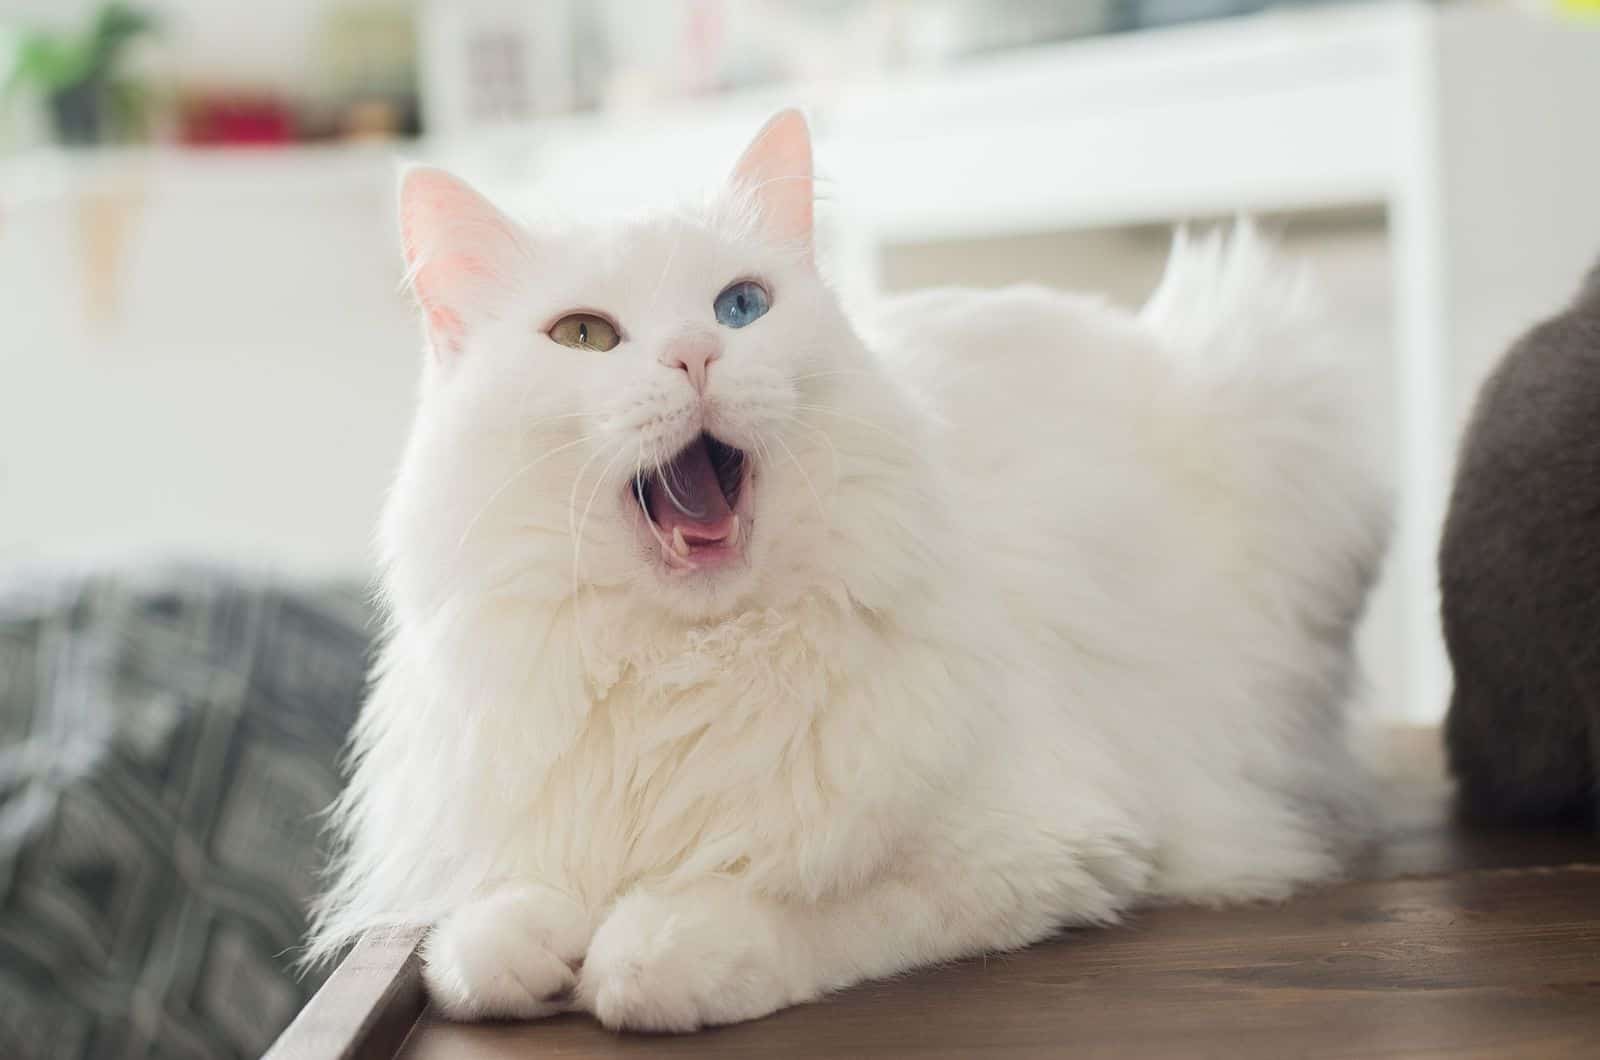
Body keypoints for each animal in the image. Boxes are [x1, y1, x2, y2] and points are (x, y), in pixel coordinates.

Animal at [308, 112, 1388, 1031]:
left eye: (741, 307)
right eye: (585, 336)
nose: (696, 355)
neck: (688, 660)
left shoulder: (1044, 843)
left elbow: (802, 906)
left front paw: (653, 949)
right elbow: (477, 943)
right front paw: (532, 945)